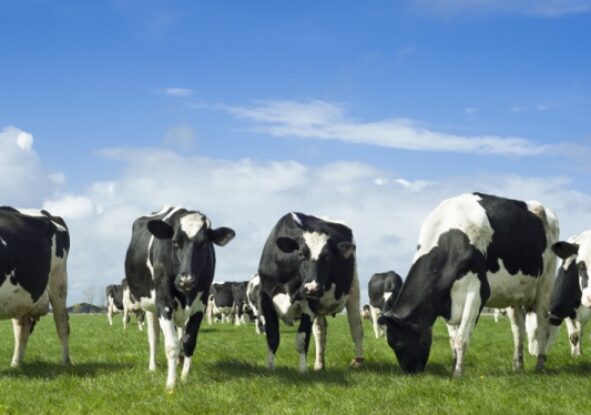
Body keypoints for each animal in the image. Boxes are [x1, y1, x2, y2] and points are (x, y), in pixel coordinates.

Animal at [0, 207, 70, 368]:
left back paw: (65, 362)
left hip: (58, 281)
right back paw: (16, 364)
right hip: (20, 299)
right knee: (22, 329)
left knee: (62, 323)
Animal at [125, 206, 236, 392]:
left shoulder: (200, 305)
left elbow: (189, 342)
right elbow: (170, 345)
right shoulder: (163, 303)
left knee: (180, 334)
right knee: (154, 337)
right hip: (149, 306)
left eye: (203, 243)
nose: (187, 280)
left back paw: (180, 361)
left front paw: (184, 376)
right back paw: (153, 367)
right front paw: (171, 384)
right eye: (175, 242)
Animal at [258, 213, 364, 372]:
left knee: (356, 327)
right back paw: (319, 364)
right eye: (301, 254)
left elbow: (302, 340)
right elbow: (272, 338)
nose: (312, 288)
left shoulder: (309, 306)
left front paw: (302, 371)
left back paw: (358, 361)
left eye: (329, 258)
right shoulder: (266, 300)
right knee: (320, 332)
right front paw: (270, 369)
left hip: (353, 289)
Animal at [380, 193, 560, 376]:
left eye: (399, 343)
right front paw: (454, 366)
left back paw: (540, 364)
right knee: (518, 330)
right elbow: (453, 341)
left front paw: (458, 373)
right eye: (391, 344)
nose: (411, 372)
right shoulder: (448, 300)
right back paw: (518, 365)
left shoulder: (476, 292)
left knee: (543, 327)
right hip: (514, 294)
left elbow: (461, 339)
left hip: (546, 282)